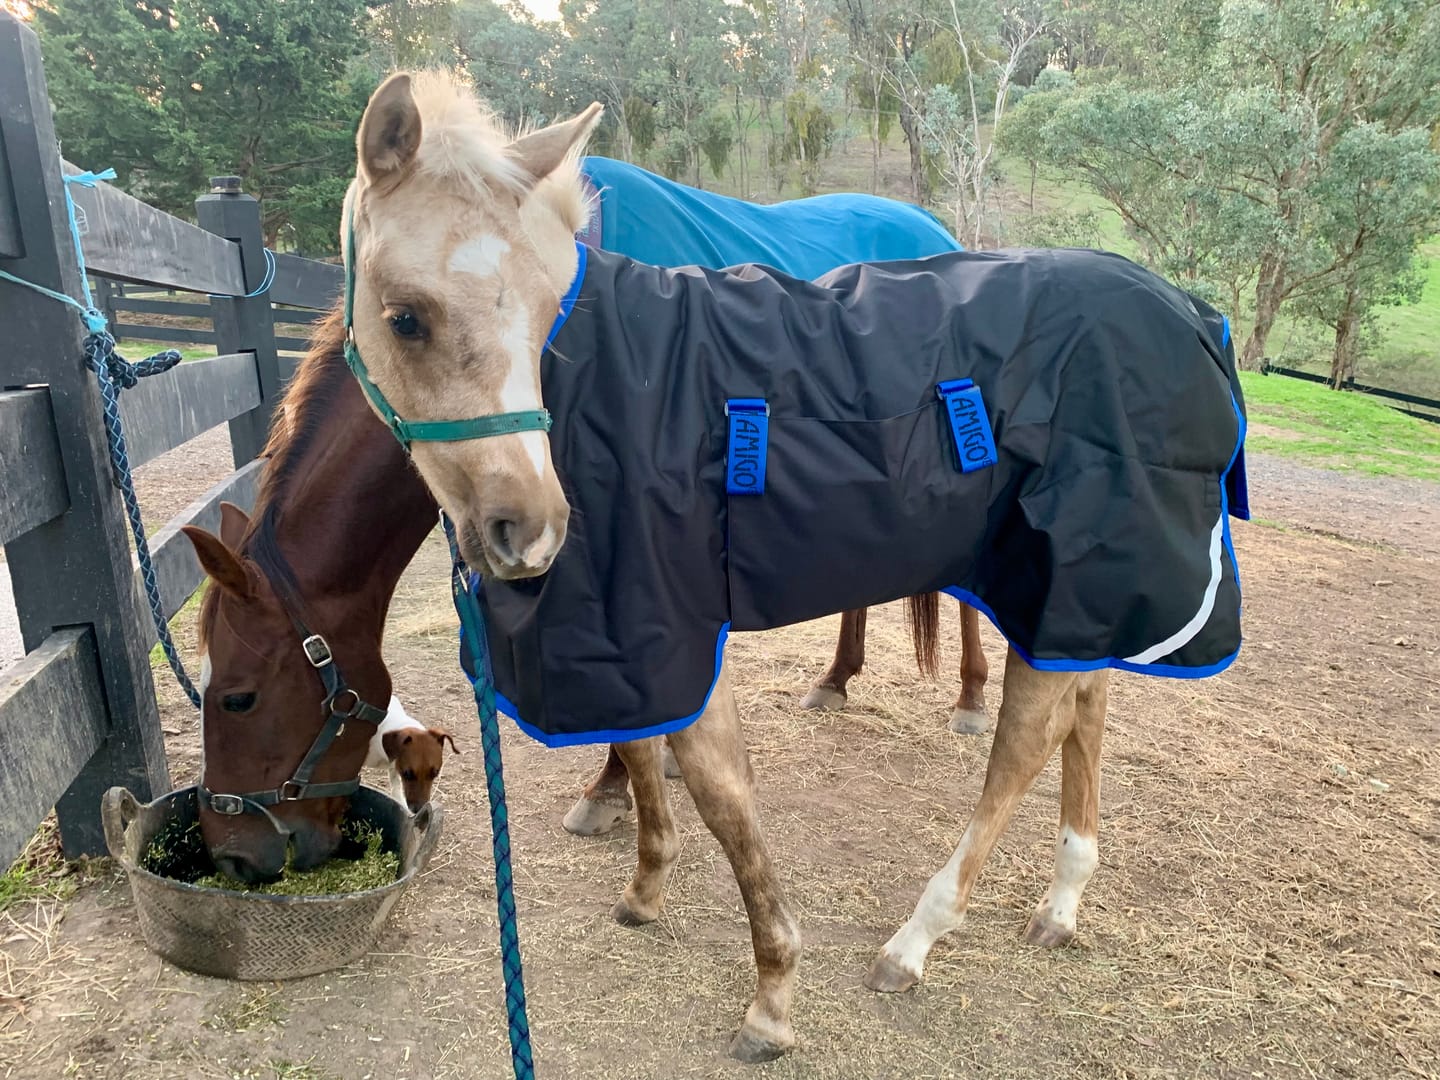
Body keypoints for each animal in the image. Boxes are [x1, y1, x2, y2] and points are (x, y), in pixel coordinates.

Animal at [315, 72, 1245, 1061]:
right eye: (406, 318)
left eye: (540, 314)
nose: (528, 530)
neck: (611, 387)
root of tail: (1189, 313)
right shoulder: (625, 650)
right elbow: (643, 757)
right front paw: (645, 889)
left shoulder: (673, 635)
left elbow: (722, 797)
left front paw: (772, 995)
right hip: (1073, 597)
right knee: (1084, 714)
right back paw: (1062, 899)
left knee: (1025, 743)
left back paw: (915, 940)